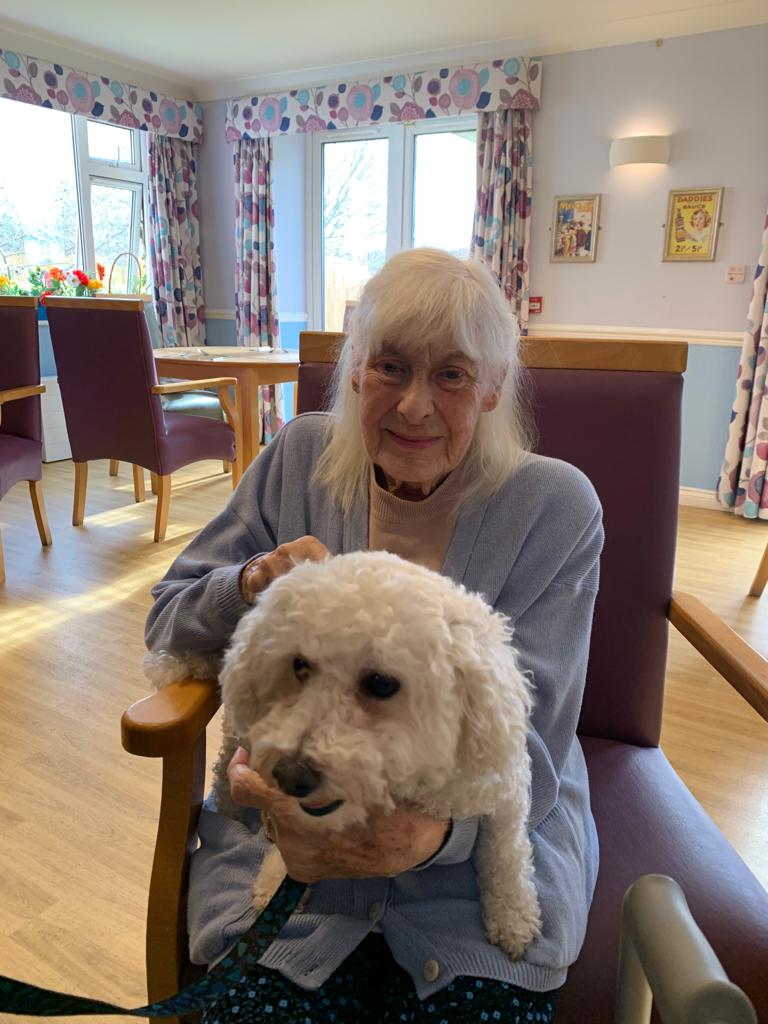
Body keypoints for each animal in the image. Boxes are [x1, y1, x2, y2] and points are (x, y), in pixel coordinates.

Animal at [209, 549, 542, 959]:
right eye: (299, 665)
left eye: (381, 683)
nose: (290, 775)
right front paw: (275, 879)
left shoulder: (504, 793)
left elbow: (506, 854)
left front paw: (513, 916)